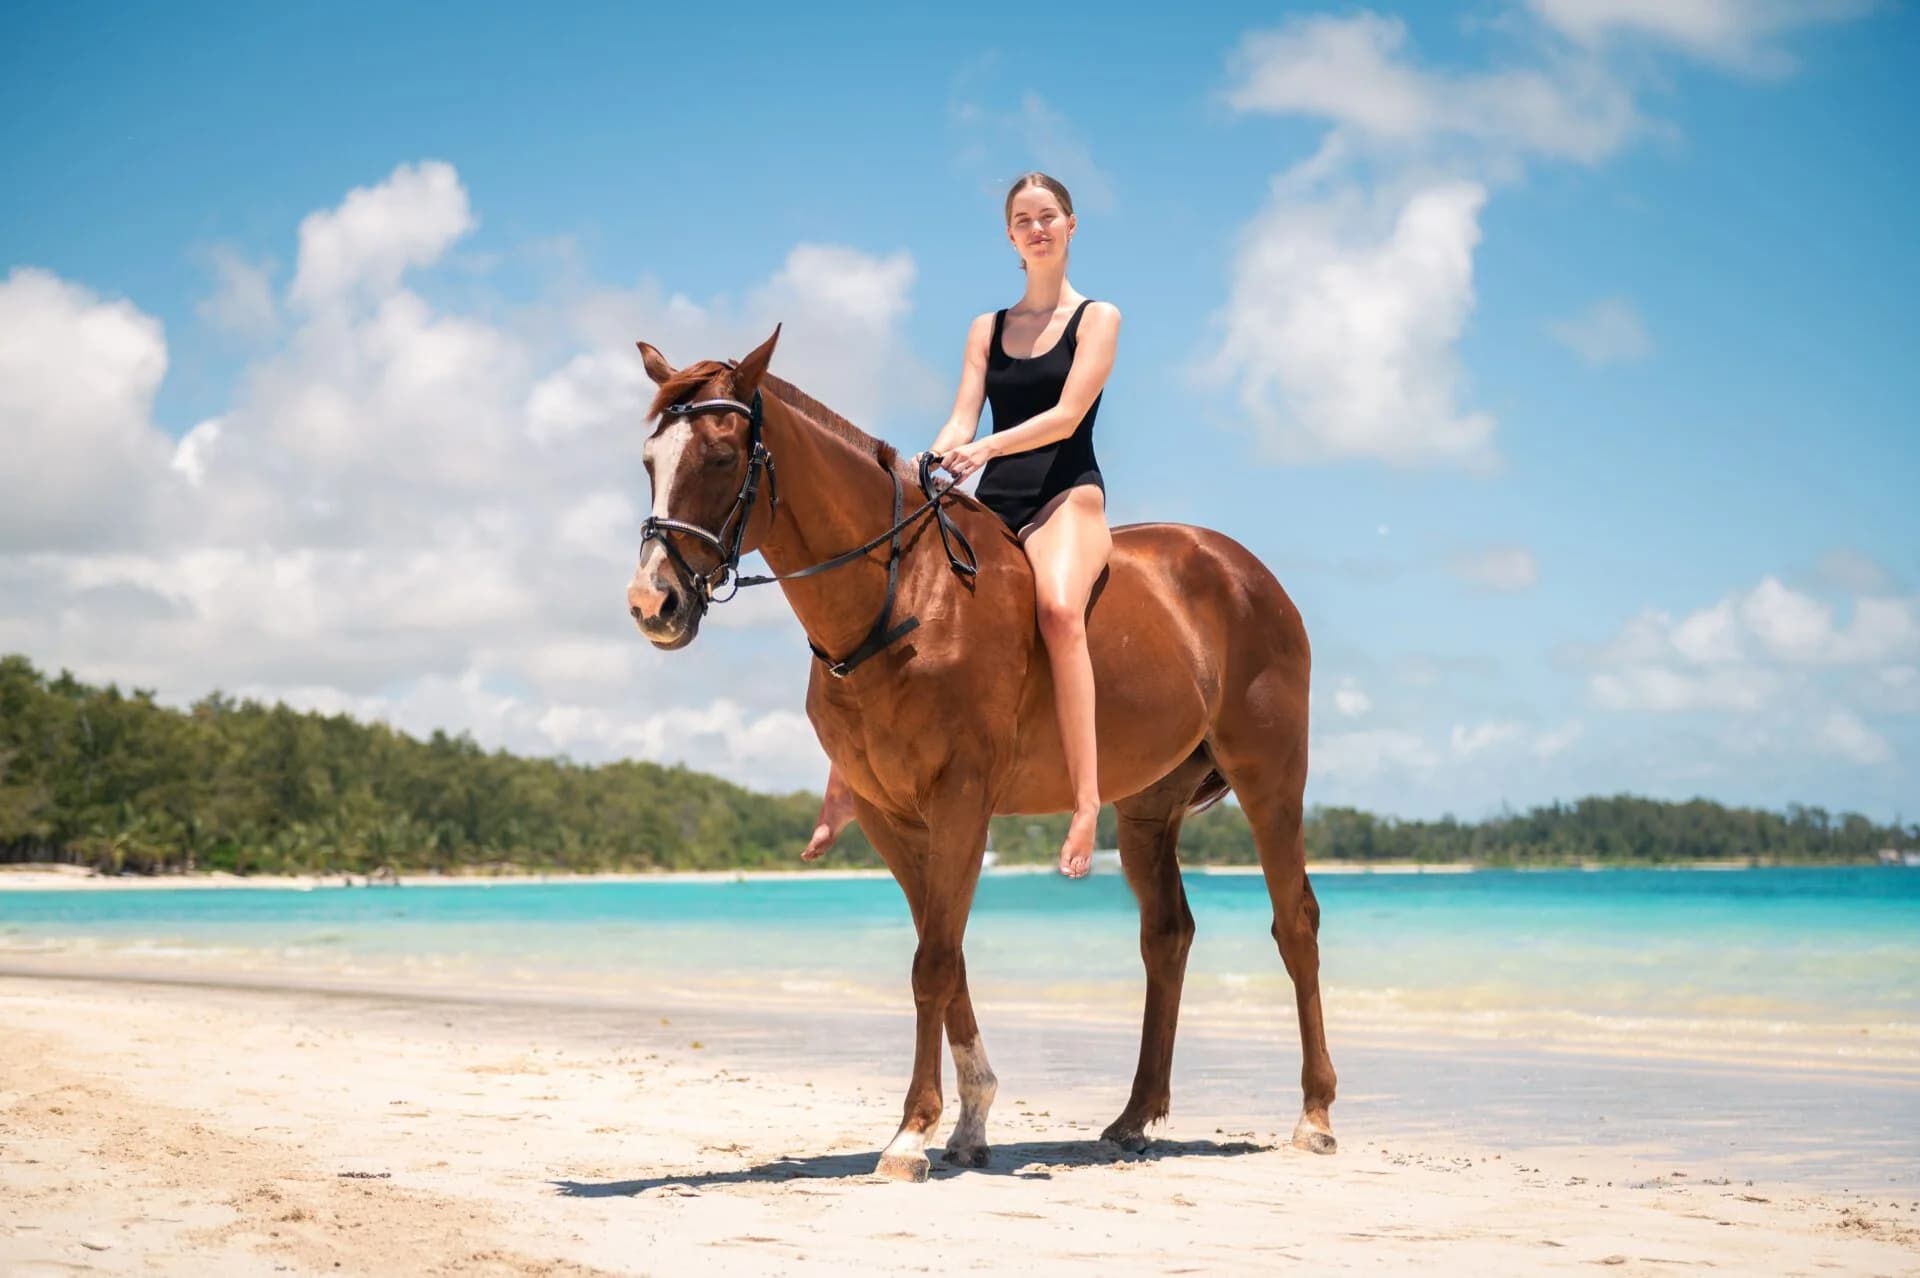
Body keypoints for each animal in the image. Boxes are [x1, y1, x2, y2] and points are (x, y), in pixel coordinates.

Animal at [624, 325, 1335, 1182]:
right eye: (649, 461)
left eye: (723, 456)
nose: (652, 603)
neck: (903, 600)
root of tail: (1241, 568)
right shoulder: (889, 814)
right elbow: (947, 952)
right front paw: (967, 1122)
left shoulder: (961, 797)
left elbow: (934, 959)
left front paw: (910, 1134)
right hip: (1147, 812)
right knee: (1166, 937)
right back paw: (1134, 1117)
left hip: (1271, 780)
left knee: (1295, 922)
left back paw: (1315, 1114)